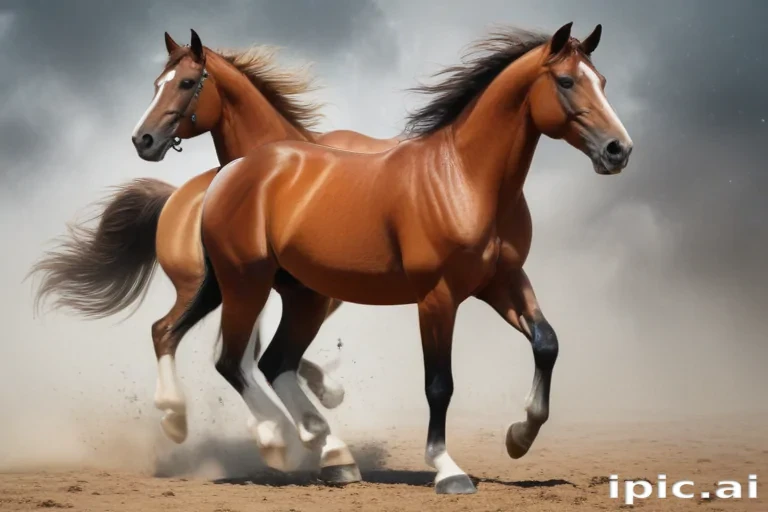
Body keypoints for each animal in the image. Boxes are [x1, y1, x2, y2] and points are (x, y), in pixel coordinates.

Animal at [28, 30, 401, 453]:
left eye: (187, 83)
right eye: (157, 84)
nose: (143, 140)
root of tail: (175, 198)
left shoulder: (300, 290)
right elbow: (265, 352)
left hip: (220, 290)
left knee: (193, 339)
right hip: (208, 289)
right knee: (176, 334)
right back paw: (189, 416)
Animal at [171, 22, 633, 494]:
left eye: (602, 81)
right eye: (566, 81)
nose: (619, 149)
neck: (465, 179)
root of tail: (232, 172)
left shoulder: (503, 281)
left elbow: (547, 342)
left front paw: (519, 436)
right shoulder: (437, 298)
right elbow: (439, 385)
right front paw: (448, 469)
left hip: (304, 296)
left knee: (275, 362)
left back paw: (335, 456)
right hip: (245, 284)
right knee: (231, 361)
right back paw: (276, 443)